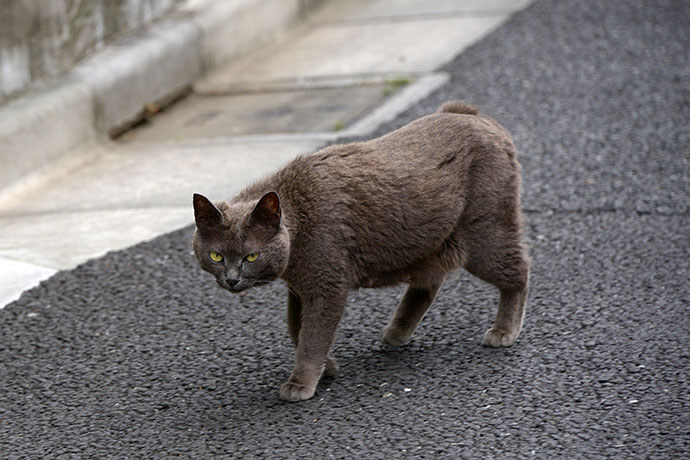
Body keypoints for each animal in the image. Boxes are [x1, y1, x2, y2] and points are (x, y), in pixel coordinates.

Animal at [191, 101, 528, 402]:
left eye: (251, 256)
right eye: (216, 256)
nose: (231, 279)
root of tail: (471, 114)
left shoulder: (326, 285)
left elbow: (312, 334)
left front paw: (301, 383)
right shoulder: (300, 287)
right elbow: (295, 325)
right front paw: (327, 367)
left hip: (485, 231)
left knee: (519, 272)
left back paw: (504, 331)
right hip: (431, 241)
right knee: (431, 280)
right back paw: (397, 331)